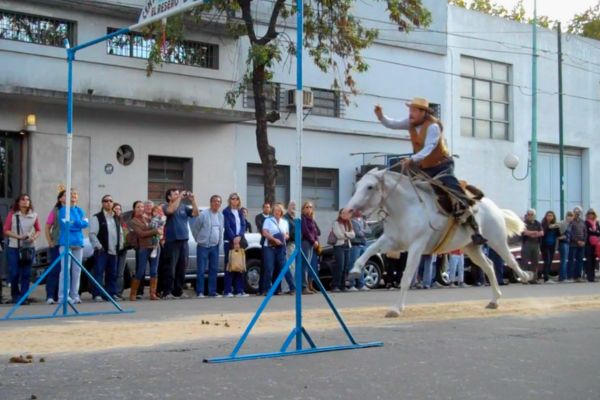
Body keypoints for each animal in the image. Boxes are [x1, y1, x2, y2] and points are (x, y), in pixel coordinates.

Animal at [344, 167, 532, 318]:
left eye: (370, 186)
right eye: (357, 185)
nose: (348, 211)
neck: (406, 208)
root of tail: (495, 208)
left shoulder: (416, 246)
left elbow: (406, 276)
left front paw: (396, 309)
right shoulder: (392, 241)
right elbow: (369, 249)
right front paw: (354, 270)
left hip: (496, 240)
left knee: (510, 260)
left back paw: (524, 276)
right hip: (471, 248)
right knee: (489, 265)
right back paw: (494, 300)